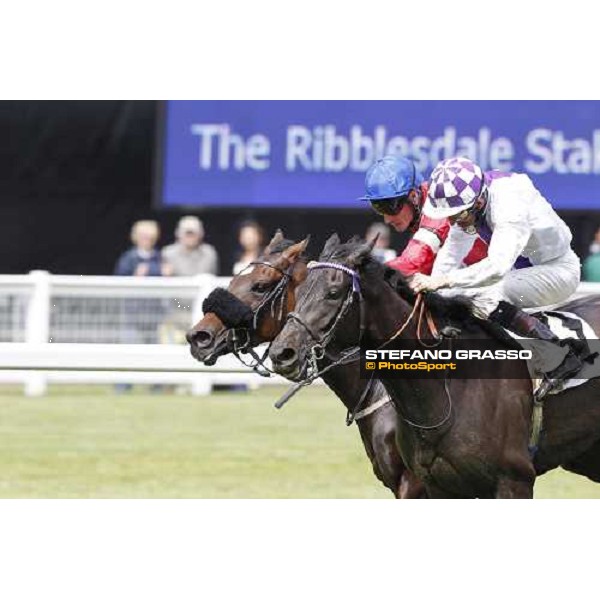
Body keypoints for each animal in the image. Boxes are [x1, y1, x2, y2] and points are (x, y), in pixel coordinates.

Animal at [268, 237, 600, 500]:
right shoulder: (439, 487)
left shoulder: (513, 480)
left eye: (333, 293)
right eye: (300, 291)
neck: (446, 389)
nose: (282, 353)